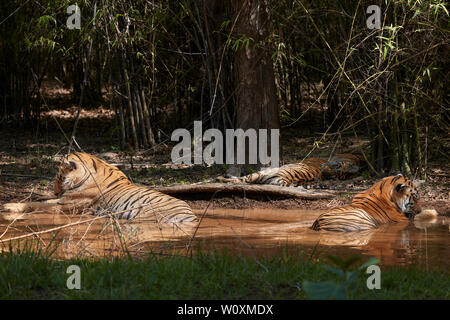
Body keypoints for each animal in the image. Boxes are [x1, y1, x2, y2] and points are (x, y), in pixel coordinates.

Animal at [0, 152, 197, 225]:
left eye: (58, 176)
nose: (56, 191)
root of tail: (191, 216)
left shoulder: (65, 205)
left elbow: (36, 205)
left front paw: (8, 206)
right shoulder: (62, 201)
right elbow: (41, 201)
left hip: (145, 215)